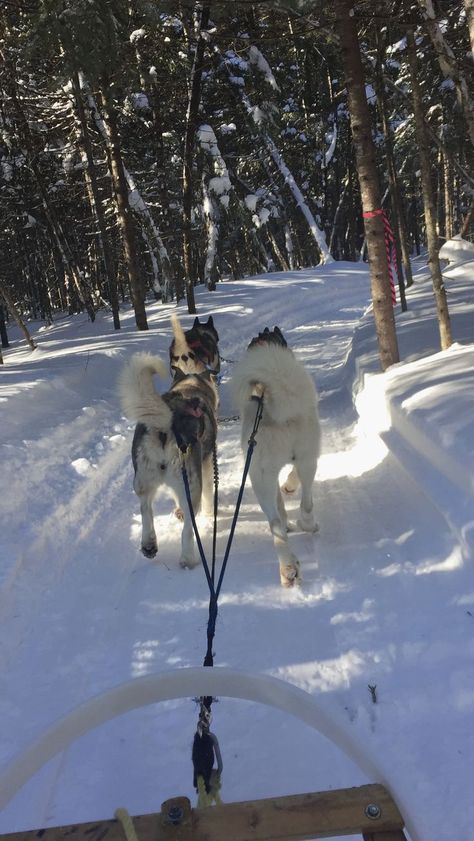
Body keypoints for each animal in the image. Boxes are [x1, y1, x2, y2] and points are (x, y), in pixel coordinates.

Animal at [121, 352, 219, 568]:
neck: (190, 387)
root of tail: (166, 424)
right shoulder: (206, 464)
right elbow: (209, 494)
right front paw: (210, 514)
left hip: (143, 481)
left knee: (146, 509)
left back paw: (149, 544)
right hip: (192, 486)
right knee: (188, 530)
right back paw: (188, 558)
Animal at [231, 324, 320, 588]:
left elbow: (281, 505)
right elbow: (291, 482)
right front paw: (289, 487)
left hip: (263, 477)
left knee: (277, 524)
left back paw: (288, 567)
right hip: (305, 461)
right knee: (305, 502)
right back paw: (307, 526)